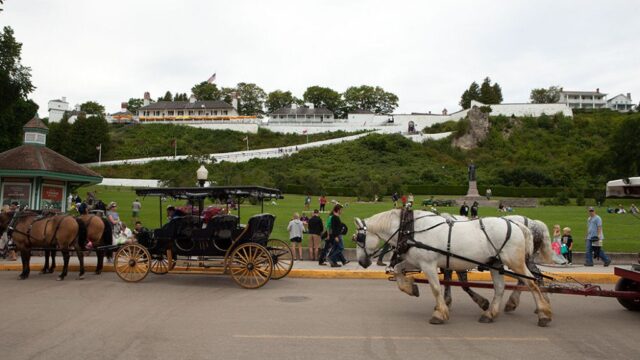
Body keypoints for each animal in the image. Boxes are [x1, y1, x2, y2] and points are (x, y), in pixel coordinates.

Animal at [352, 210, 552, 328]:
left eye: (359, 238)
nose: (361, 262)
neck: (411, 228)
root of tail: (519, 224)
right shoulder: (417, 261)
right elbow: (398, 270)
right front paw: (411, 288)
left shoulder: (429, 264)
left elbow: (435, 288)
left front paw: (439, 313)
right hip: (495, 263)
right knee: (501, 288)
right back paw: (490, 313)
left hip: (514, 261)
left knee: (532, 282)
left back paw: (543, 313)